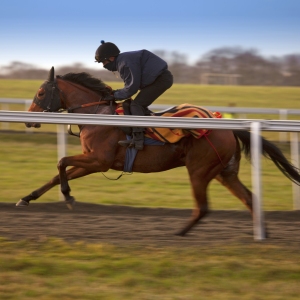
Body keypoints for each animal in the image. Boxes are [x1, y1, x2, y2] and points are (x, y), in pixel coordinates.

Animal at [18, 66, 300, 237]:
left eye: (40, 92)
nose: (28, 119)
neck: (98, 115)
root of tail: (227, 128)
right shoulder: (93, 162)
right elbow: (57, 173)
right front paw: (28, 198)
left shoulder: (99, 160)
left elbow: (61, 161)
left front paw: (68, 196)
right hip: (225, 172)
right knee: (249, 198)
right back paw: (262, 233)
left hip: (199, 170)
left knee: (203, 207)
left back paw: (180, 233)